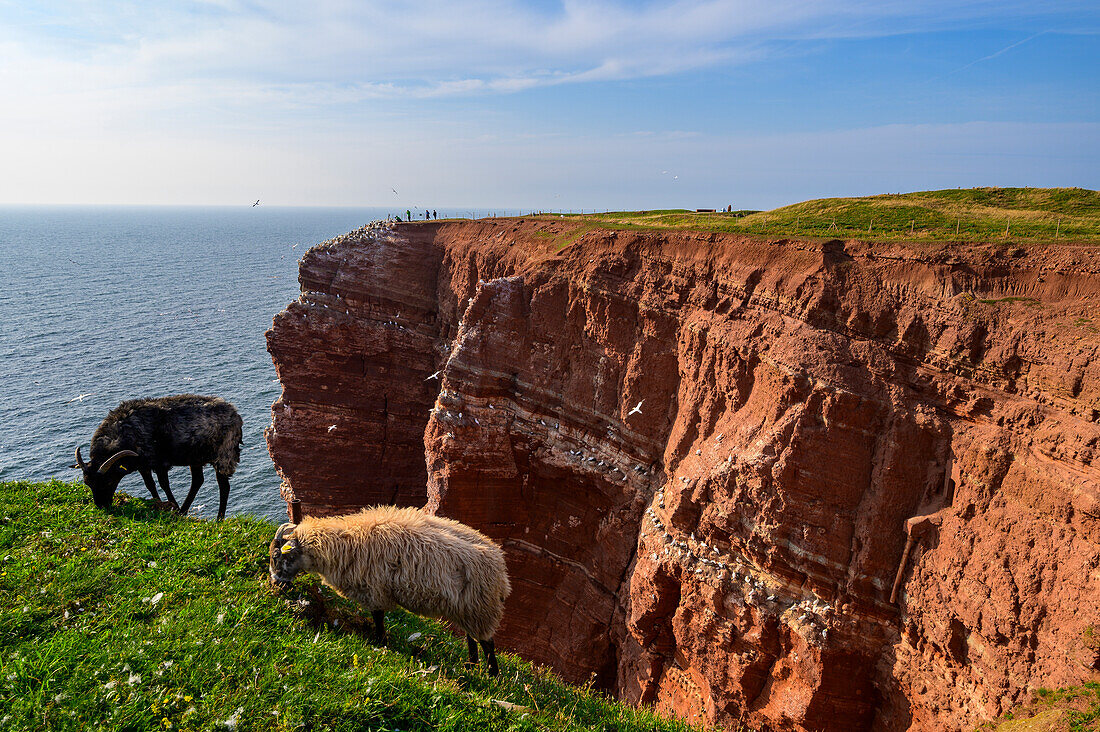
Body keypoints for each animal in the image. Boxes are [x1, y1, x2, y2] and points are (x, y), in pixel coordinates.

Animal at [72, 394, 242, 519]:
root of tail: (235, 413)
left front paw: (172, 505)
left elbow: (163, 484)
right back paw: (184, 511)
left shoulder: (160, 463)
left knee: (223, 486)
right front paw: (160, 503)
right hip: (195, 457)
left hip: (224, 455)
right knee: (197, 481)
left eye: (108, 481)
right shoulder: (143, 465)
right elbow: (150, 485)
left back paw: (218, 519)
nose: (101, 506)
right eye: (88, 483)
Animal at [275, 506, 514, 678]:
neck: (341, 543)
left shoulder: (374, 591)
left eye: (278, 556)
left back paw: (492, 674)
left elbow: (378, 617)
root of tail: (502, 574)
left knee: (488, 643)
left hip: (479, 606)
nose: (277, 583)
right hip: (468, 609)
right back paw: (470, 665)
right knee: (471, 637)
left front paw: (380, 641)